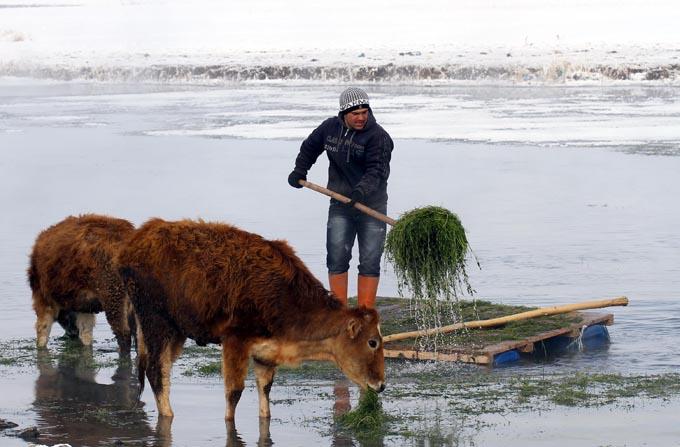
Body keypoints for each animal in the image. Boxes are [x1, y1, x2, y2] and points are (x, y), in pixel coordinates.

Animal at [28, 214, 136, 354]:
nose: (70, 334)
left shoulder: (42, 296)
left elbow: (42, 332)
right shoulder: (84, 307)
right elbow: (86, 334)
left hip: (113, 293)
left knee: (124, 334)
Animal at [119, 219, 386, 422]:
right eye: (372, 342)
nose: (381, 385)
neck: (285, 295)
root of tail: (137, 241)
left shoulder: (266, 353)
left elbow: (265, 392)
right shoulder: (235, 341)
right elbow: (234, 393)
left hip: (175, 332)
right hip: (156, 324)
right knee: (156, 371)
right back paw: (168, 414)